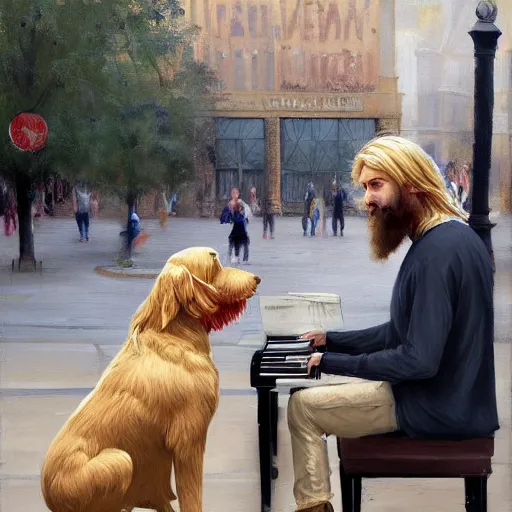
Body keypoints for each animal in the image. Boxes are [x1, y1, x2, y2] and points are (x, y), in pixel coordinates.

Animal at [41, 246, 260, 510]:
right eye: (214, 261)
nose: (257, 279)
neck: (176, 335)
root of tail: (48, 494)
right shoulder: (188, 438)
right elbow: (191, 497)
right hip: (119, 461)